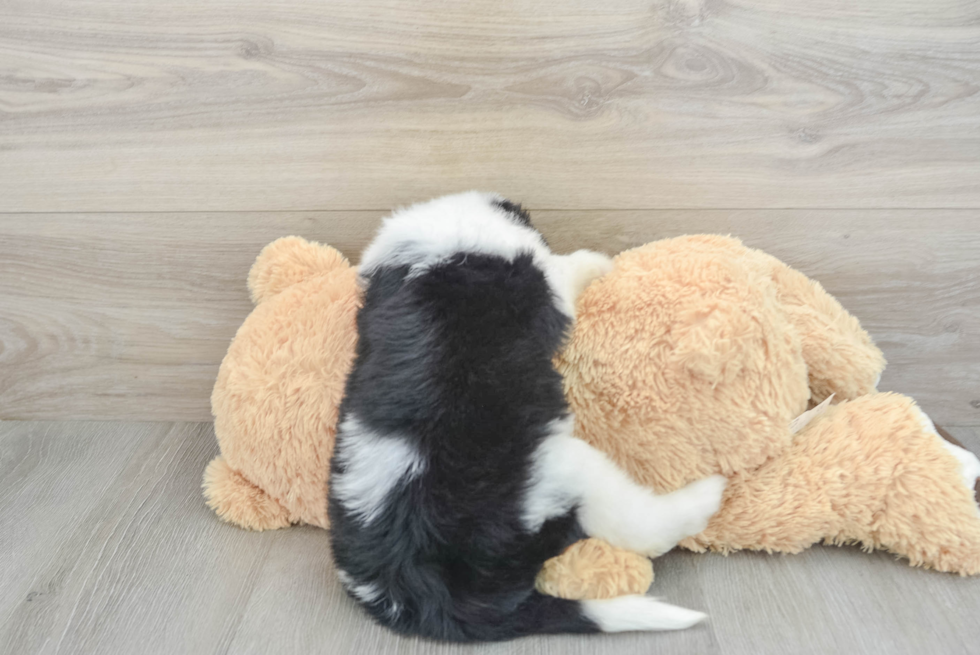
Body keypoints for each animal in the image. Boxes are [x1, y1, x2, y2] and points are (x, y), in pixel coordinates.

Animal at [330, 192, 728, 644]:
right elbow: (567, 268)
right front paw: (599, 262)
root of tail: (414, 590)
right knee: (636, 525)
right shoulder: (546, 285)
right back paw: (706, 495)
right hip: (558, 473)